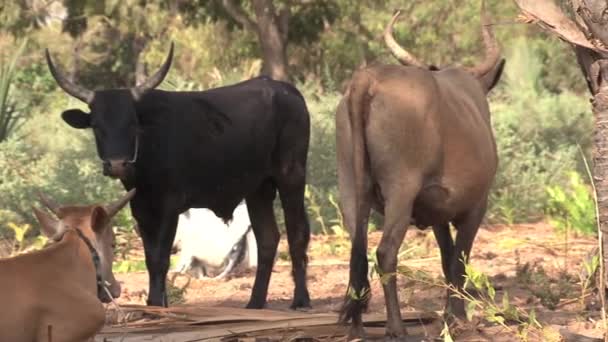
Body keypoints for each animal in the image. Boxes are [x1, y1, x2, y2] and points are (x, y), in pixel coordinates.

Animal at [47, 44, 312, 308]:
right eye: (97, 126)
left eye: (132, 123)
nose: (117, 164)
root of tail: (287, 91)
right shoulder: (141, 209)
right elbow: (150, 258)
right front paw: (158, 303)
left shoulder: (169, 207)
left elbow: (160, 259)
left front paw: (156, 303)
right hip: (258, 189)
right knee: (268, 238)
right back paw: (255, 302)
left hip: (291, 176)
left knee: (297, 234)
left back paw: (301, 299)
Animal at [334, 2, 506, 340]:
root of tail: (369, 79)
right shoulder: (476, 207)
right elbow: (458, 261)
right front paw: (456, 318)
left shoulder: (438, 213)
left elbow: (446, 257)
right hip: (401, 191)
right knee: (385, 253)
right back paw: (397, 327)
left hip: (349, 186)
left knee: (357, 249)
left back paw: (357, 326)